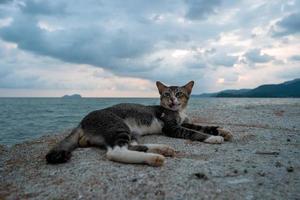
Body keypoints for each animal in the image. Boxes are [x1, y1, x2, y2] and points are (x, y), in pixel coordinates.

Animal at [45, 80, 233, 166]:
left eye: (179, 94)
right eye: (166, 94)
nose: (172, 100)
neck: (178, 112)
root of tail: (83, 121)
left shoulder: (184, 122)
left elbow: (202, 126)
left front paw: (223, 131)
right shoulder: (172, 128)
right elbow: (195, 132)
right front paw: (213, 138)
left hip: (130, 131)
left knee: (132, 145)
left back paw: (162, 149)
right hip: (117, 125)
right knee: (117, 152)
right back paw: (154, 157)